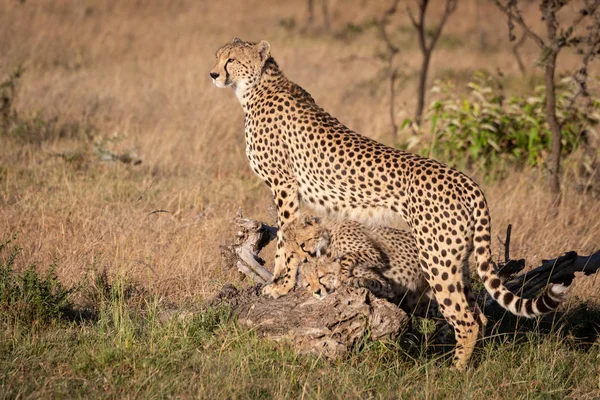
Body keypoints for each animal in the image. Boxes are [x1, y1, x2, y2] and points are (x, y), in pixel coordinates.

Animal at [211, 38, 568, 368]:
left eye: (232, 59)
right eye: (218, 56)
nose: (213, 74)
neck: (255, 87)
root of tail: (467, 181)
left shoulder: (284, 185)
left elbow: (286, 238)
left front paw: (280, 284)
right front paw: (281, 281)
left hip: (437, 258)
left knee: (465, 319)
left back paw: (455, 372)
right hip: (458, 258)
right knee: (478, 314)